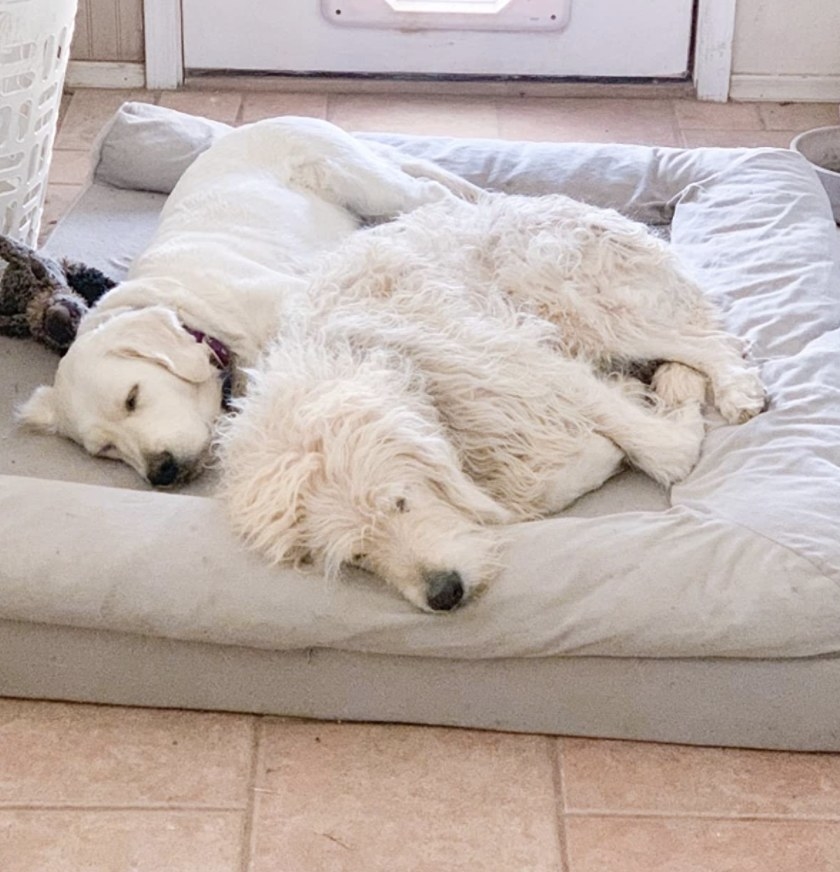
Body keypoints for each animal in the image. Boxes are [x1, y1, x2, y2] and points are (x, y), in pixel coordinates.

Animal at [217, 191, 768, 612]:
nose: (444, 594)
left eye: (401, 501)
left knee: (707, 340)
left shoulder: (522, 357)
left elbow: (664, 451)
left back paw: (727, 387)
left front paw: (659, 419)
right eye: (356, 556)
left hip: (574, 296)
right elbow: (539, 489)